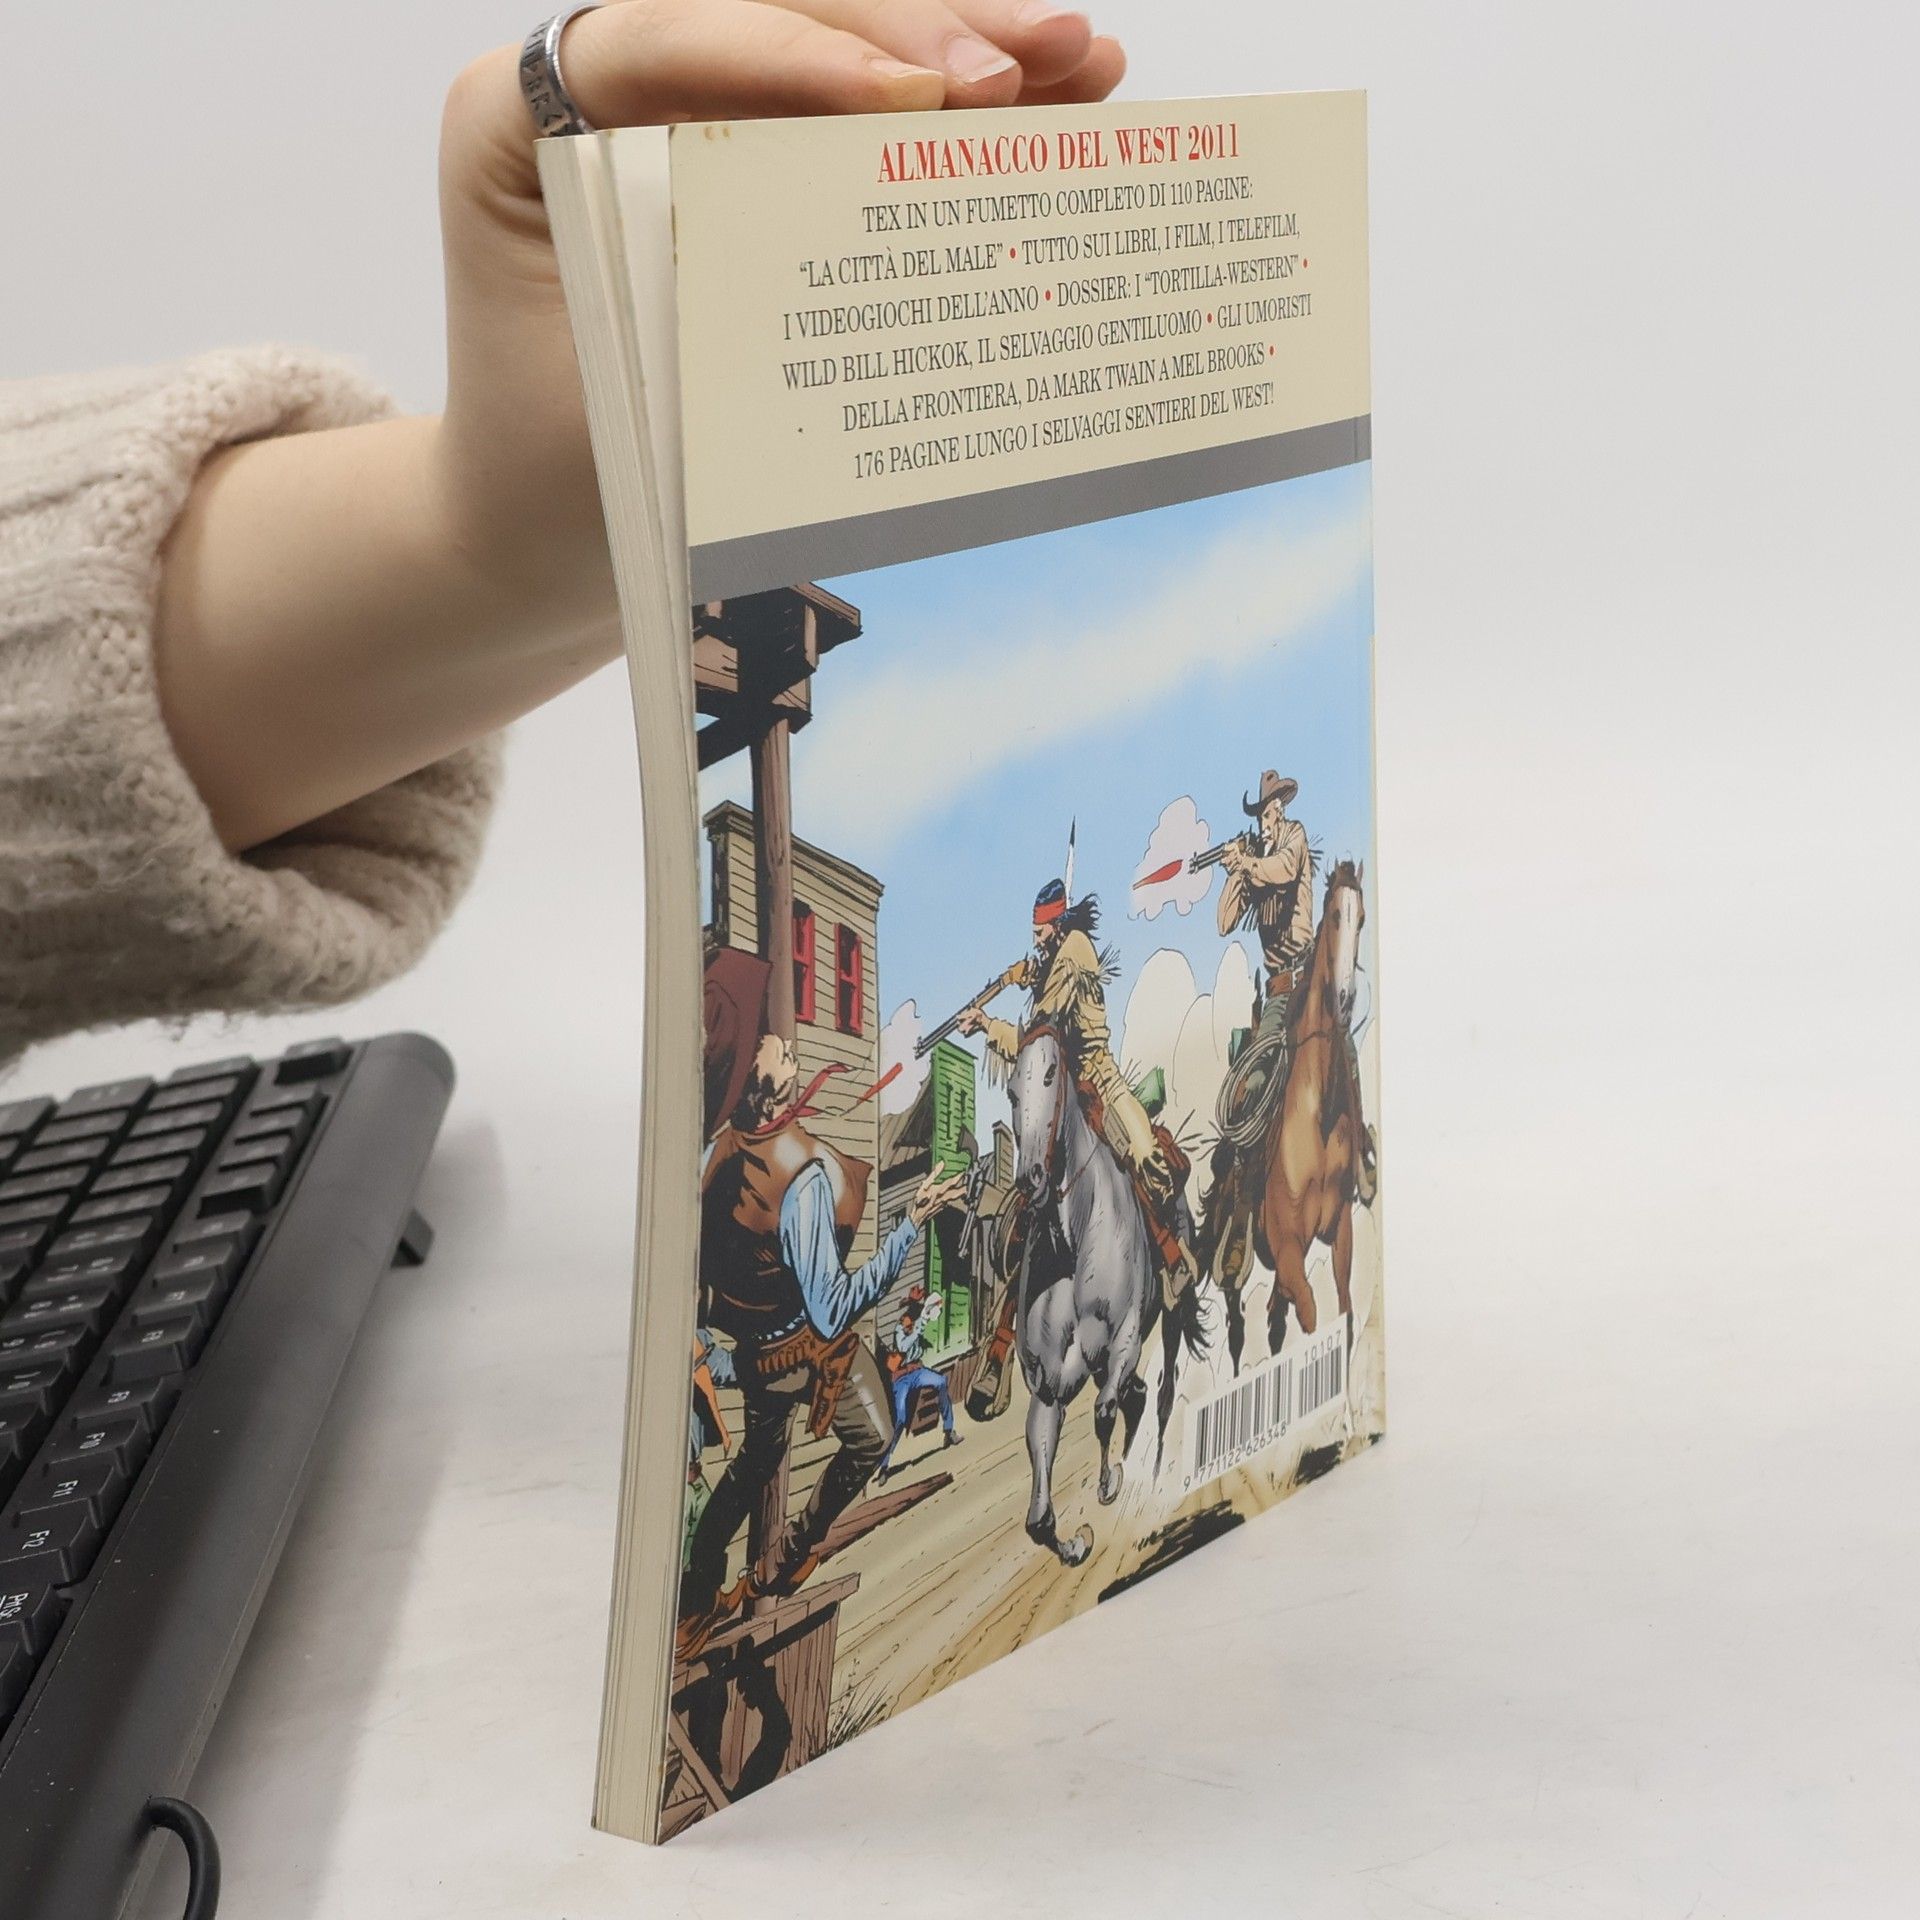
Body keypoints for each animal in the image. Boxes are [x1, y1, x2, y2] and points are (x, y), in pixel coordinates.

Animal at [1005, 1024, 1206, 1565]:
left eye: (1050, 1073)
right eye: (1011, 1090)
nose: (1030, 1179)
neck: (1074, 1245)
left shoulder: (1125, 1342)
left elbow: (1103, 1412)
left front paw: (1110, 1481)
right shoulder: (1049, 1389)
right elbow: (1036, 1520)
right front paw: (1075, 1544)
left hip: (1172, 1315)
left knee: (1158, 1393)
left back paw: (1152, 1468)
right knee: (1137, 1395)